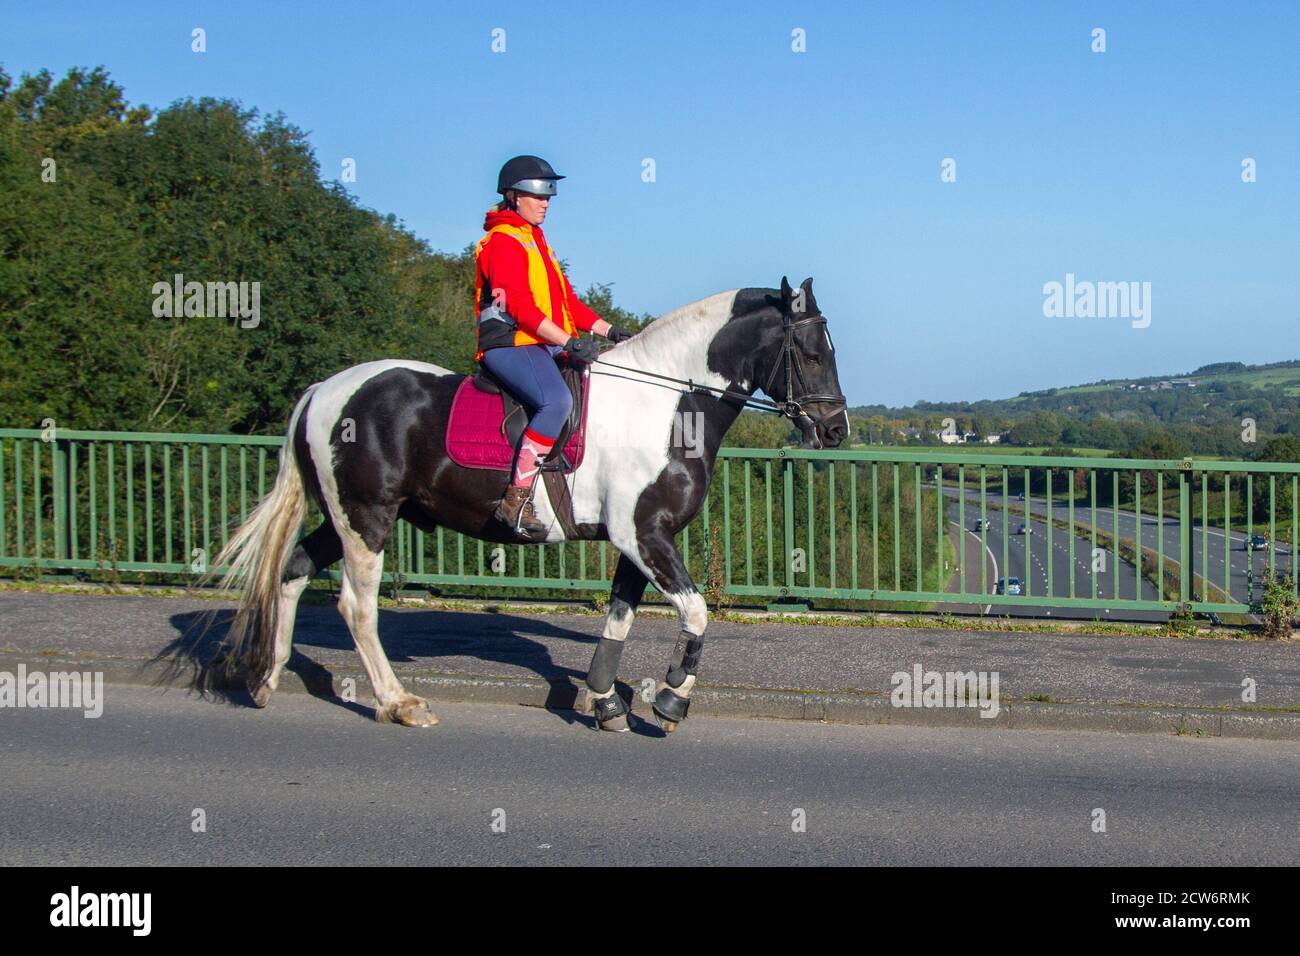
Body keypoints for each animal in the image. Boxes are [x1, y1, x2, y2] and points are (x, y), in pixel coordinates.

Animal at [208, 276, 847, 732]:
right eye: (813, 354)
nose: (837, 429)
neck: (667, 403)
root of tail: (326, 389)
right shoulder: (645, 535)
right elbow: (695, 614)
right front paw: (670, 700)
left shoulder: (635, 539)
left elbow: (619, 619)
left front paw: (604, 702)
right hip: (368, 517)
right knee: (356, 606)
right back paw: (398, 702)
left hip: (345, 514)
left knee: (292, 572)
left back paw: (266, 678)